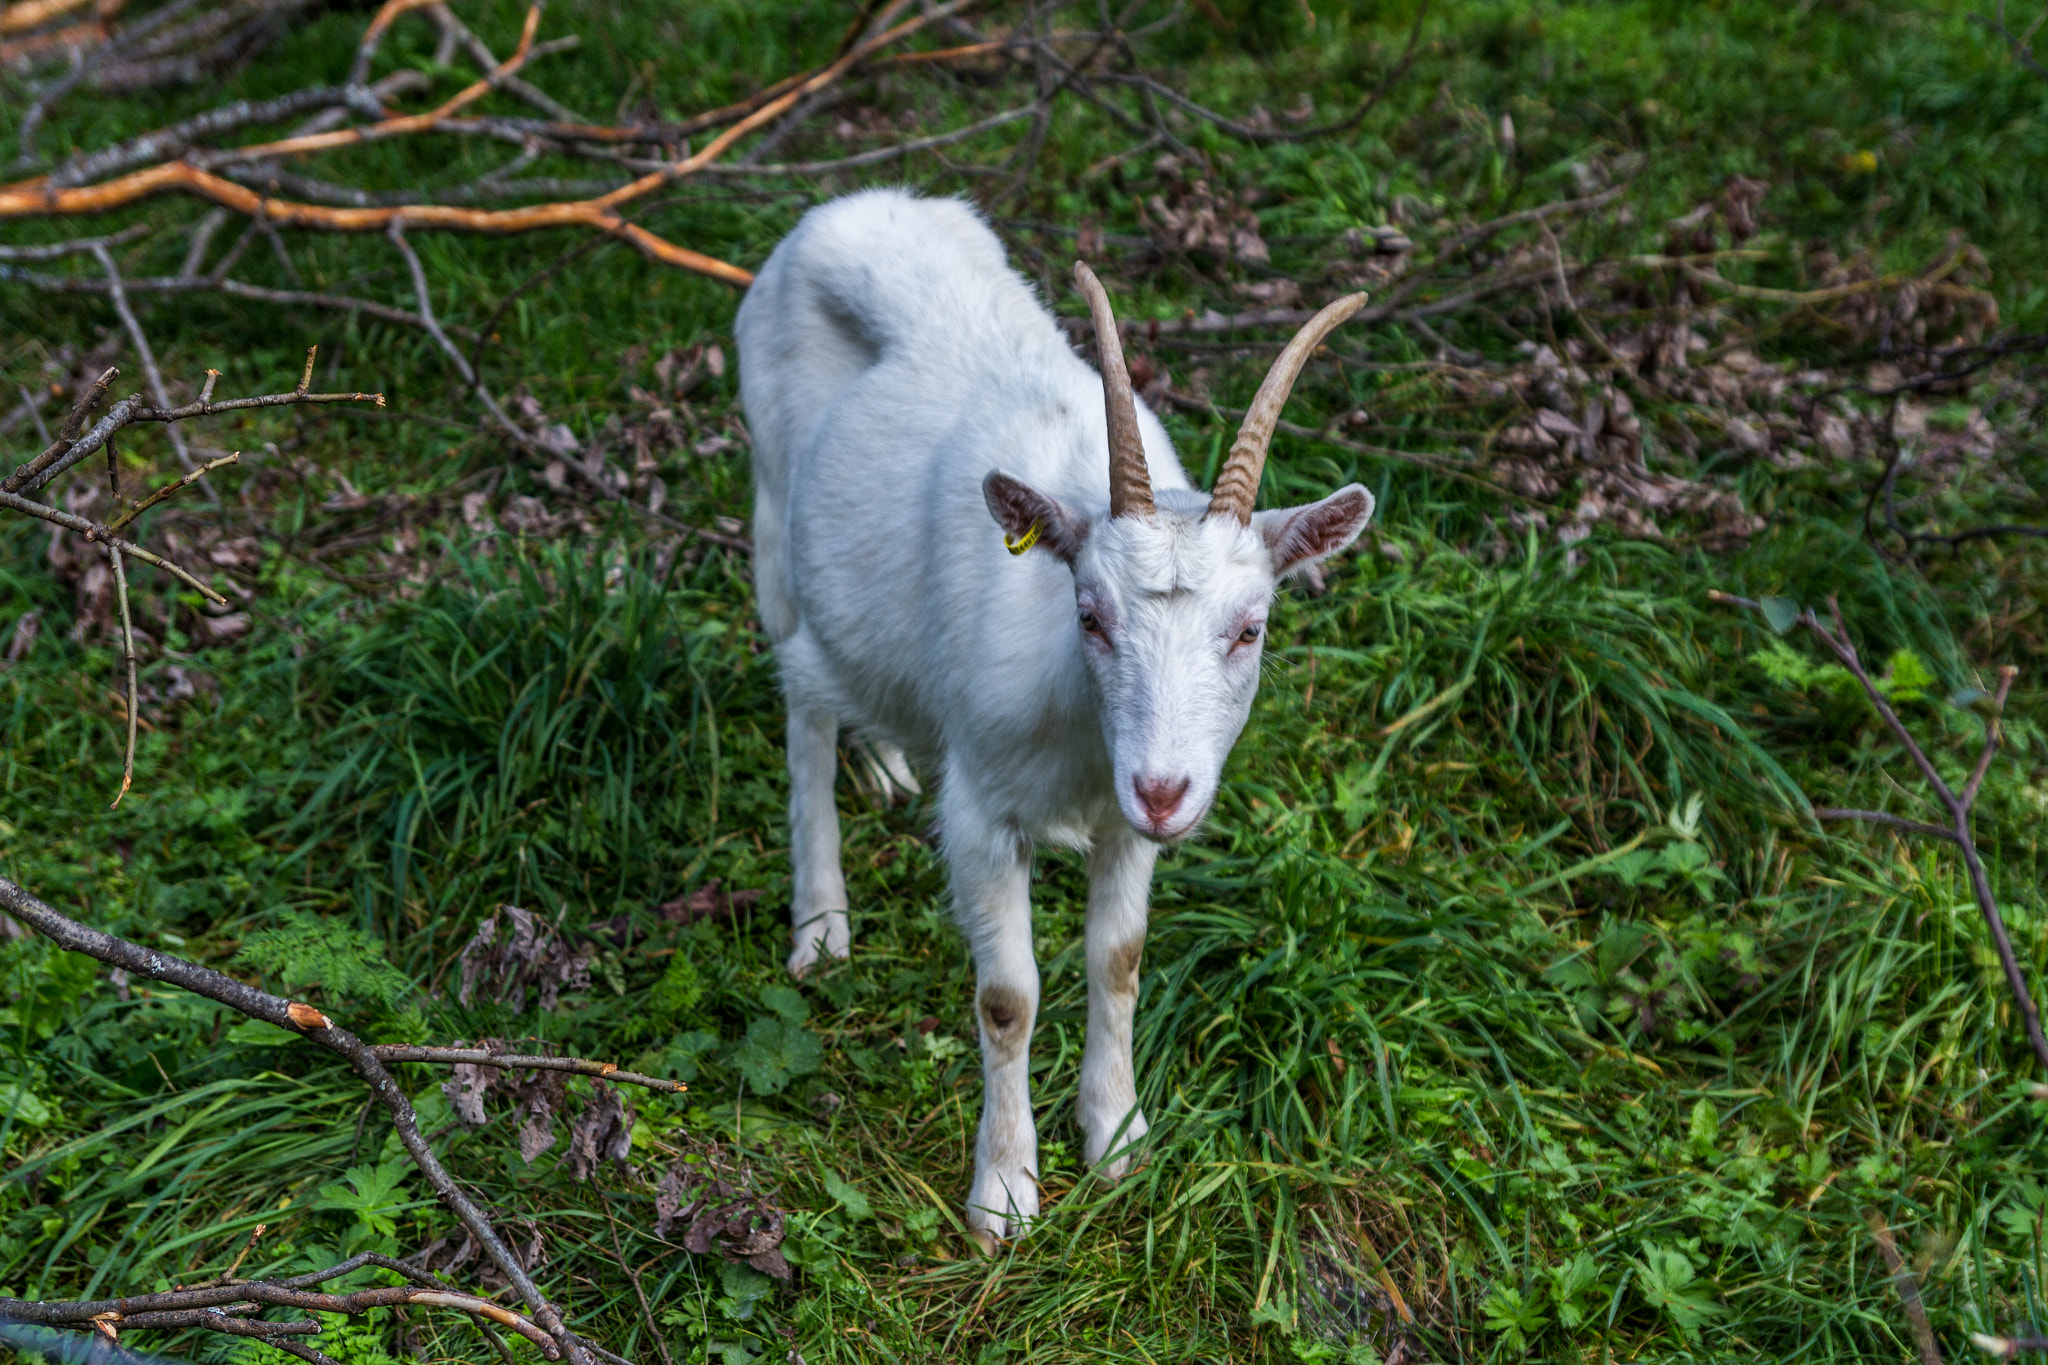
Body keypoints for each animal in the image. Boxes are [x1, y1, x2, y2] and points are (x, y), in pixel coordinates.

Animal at [735, 188, 1373, 1247]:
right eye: (1090, 614)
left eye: (1250, 628)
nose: (1164, 788)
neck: (1084, 737)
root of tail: (856, 206)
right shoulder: (983, 814)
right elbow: (1007, 997)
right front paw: (1003, 1191)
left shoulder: (1125, 826)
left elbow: (1118, 963)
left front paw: (1116, 1136)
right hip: (774, 516)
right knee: (799, 701)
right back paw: (821, 921)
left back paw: (887, 760)